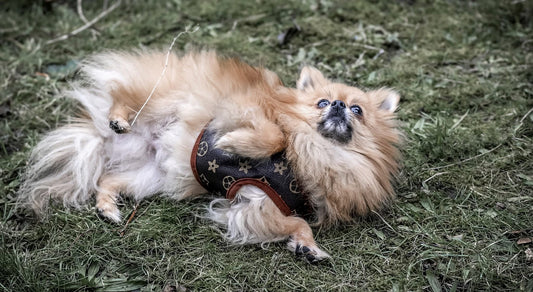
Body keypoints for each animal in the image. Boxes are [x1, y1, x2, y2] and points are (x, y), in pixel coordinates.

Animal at [16, 51, 400, 264]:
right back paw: (119, 119)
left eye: (357, 110)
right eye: (322, 102)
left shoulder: (259, 206)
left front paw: (307, 248)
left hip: (151, 176)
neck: (316, 151)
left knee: (107, 179)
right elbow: (273, 133)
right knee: (122, 95)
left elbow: (298, 223)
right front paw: (233, 143)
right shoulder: (243, 108)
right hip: (162, 97)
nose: (338, 105)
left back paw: (108, 208)